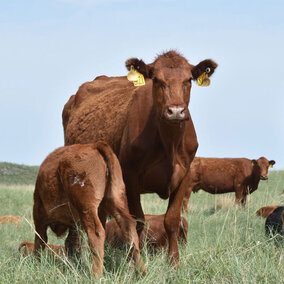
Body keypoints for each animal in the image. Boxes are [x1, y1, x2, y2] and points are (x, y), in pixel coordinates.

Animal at [32, 142, 145, 278]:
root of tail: (94, 145)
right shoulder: (75, 225)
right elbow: (70, 243)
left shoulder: (39, 216)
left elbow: (40, 241)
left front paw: (36, 264)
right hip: (117, 200)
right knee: (129, 227)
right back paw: (142, 273)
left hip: (86, 208)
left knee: (96, 233)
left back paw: (96, 275)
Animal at [62, 50, 217, 266]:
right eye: (157, 80)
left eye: (188, 80)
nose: (175, 111)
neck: (169, 143)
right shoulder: (130, 177)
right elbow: (137, 222)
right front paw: (135, 259)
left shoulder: (184, 176)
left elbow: (172, 220)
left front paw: (174, 262)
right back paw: (73, 256)